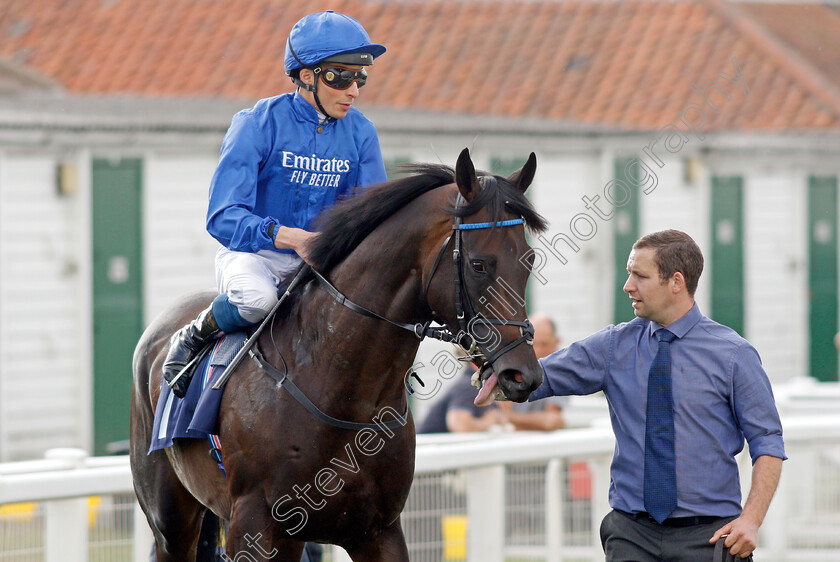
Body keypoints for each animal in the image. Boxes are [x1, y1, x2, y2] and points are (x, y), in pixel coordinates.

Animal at [130, 149, 548, 560]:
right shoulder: (256, 529)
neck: (340, 388)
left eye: (529, 259)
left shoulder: (377, 530)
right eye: (479, 264)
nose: (522, 375)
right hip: (171, 521)